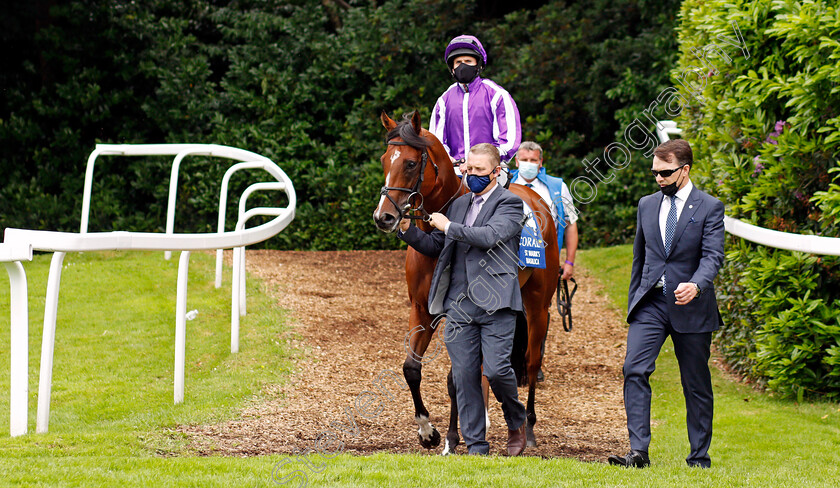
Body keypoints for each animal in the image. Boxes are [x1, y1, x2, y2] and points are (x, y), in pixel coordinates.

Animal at [372, 110, 556, 454]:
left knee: (531, 360)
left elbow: (455, 377)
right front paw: (428, 433)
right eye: (384, 160)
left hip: (538, 305)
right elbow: (411, 368)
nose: (384, 217)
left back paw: (528, 428)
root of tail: (537, 200)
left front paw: (452, 439)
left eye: (411, 163)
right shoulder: (422, 310)